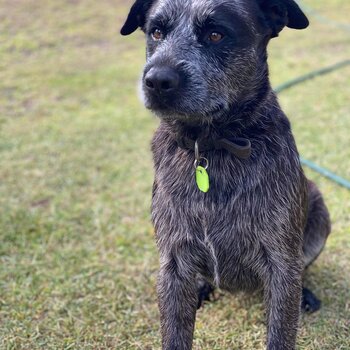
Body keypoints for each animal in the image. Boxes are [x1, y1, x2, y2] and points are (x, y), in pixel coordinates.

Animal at [120, 1, 330, 348]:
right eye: (157, 32)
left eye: (216, 34)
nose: (157, 80)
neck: (210, 147)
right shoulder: (173, 260)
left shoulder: (281, 262)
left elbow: (281, 331)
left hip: (319, 212)